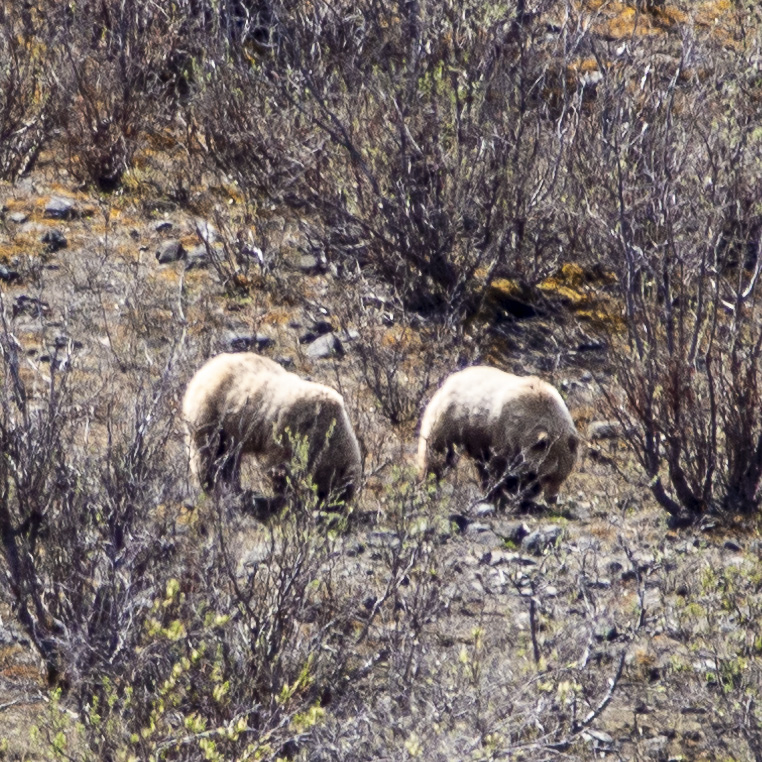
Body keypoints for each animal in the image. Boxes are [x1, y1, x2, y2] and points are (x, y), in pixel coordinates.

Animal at [182, 352, 362, 505]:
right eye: (340, 494)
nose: (332, 507)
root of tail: (207, 367)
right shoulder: (292, 431)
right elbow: (280, 464)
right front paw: (283, 493)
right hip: (211, 411)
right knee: (206, 450)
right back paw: (209, 483)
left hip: (231, 429)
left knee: (230, 456)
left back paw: (233, 486)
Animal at [417, 366, 579, 505]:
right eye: (548, 476)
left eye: (563, 475)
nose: (553, 498)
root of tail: (451, 377)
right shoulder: (506, 435)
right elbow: (501, 467)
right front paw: (502, 494)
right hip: (451, 419)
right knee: (437, 452)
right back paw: (426, 482)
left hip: (476, 438)